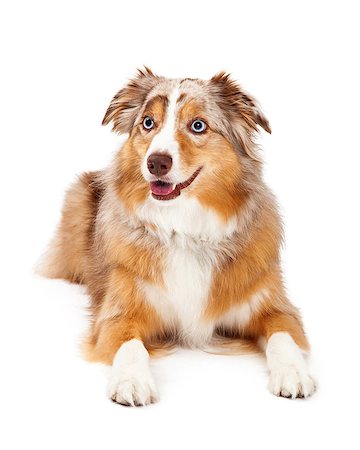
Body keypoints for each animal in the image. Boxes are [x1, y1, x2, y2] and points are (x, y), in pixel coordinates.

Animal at [41, 67, 316, 408]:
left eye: (198, 126)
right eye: (148, 123)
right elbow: (131, 345)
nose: (156, 162)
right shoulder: (117, 315)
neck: (184, 229)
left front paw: (294, 372)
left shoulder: (276, 308)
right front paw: (131, 380)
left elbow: (284, 336)